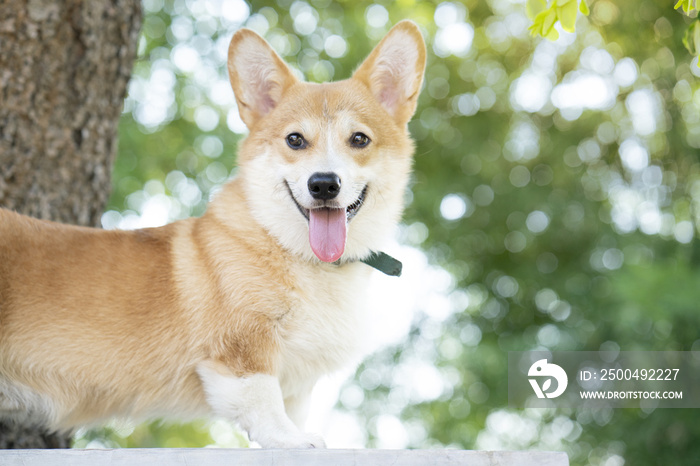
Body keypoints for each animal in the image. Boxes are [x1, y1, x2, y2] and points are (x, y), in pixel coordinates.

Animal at [0, 21, 426, 448]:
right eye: (295, 140)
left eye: (359, 139)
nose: (323, 184)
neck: (295, 252)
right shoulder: (243, 351)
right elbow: (264, 402)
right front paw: (290, 441)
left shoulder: (297, 385)